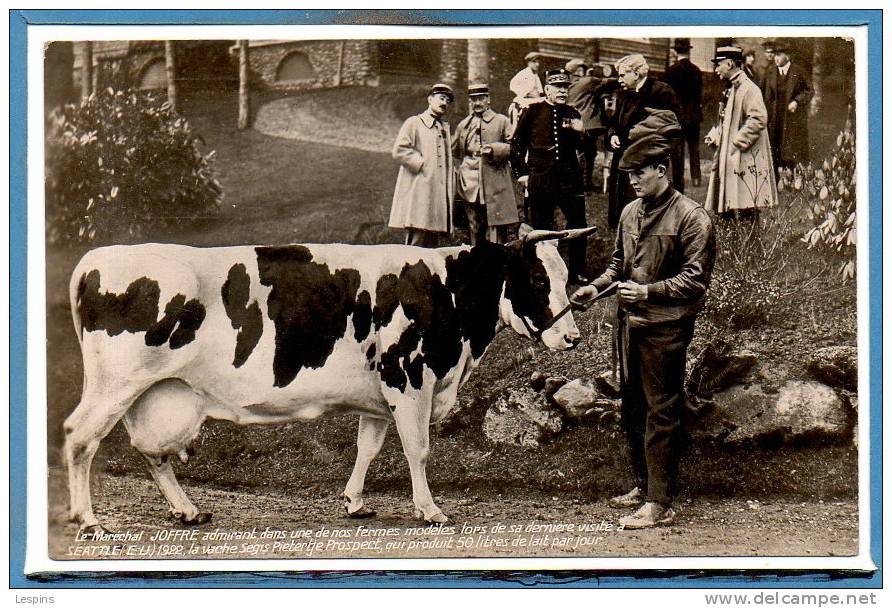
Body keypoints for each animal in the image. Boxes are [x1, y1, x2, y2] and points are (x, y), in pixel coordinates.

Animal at [64, 228, 592, 532]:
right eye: (539, 280)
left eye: (567, 274)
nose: (572, 336)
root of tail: (94, 260)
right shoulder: (409, 378)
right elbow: (418, 449)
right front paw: (430, 510)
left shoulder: (379, 393)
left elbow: (369, 447)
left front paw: (355, 501)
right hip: (114, 386)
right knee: (80, 437)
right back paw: (89, 520)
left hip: (157, 392)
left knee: (151, 451)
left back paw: (187, 510)